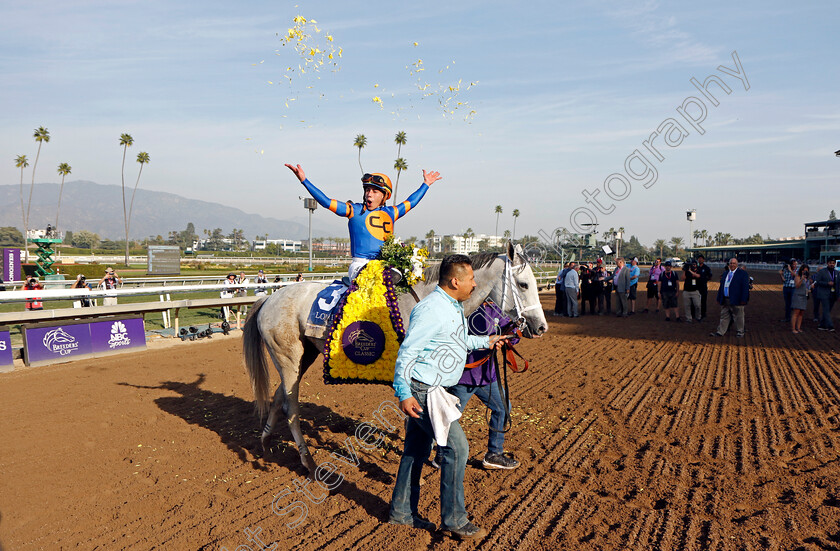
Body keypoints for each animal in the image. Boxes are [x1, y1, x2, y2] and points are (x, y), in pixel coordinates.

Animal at [240, 244, 548, 476]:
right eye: (523, 284)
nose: (541, 326)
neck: (423, 300)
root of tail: (268, 299)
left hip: (305, 355)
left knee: (279, 397)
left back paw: (265, 442)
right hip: (288, 355)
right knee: (290, 406)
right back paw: (307, 460)